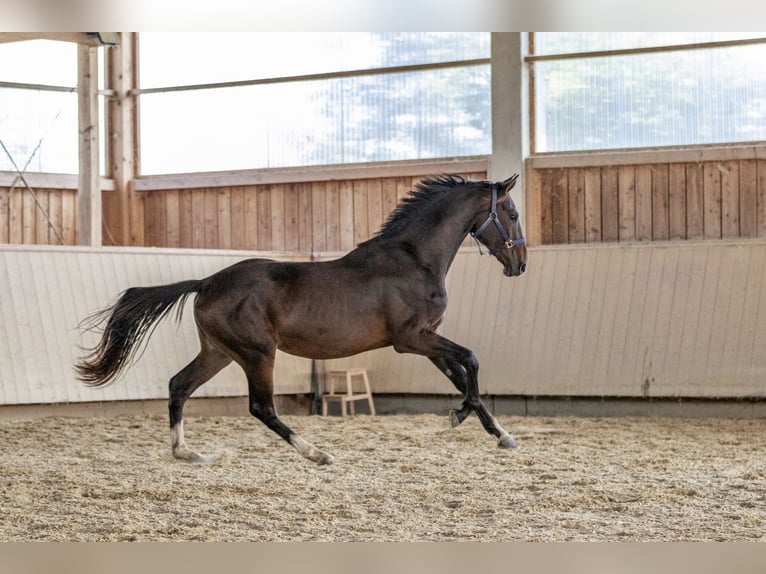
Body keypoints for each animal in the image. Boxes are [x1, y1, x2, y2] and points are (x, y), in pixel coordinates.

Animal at [76, 173, 528, 466]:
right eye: (513, 215)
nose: (520, 265)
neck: (414, 259)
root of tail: (205, 283)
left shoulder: (428, 339)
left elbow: (461, 374)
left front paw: (499, 433)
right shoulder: (412, 338)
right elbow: (471, 360)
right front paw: (461, 416)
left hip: (219, 353)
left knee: (179, 386)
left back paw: (186, 452)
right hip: (258, 353)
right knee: (261, 407)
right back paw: (317, 453)